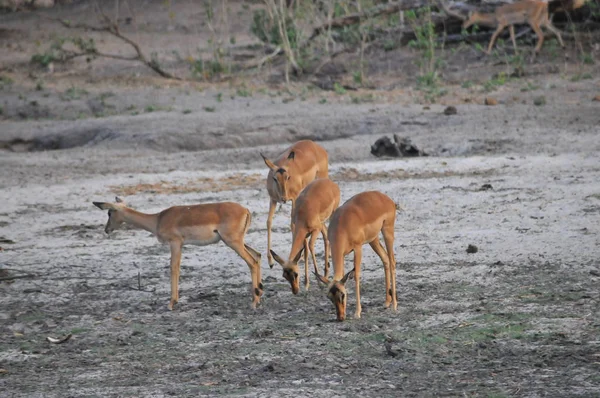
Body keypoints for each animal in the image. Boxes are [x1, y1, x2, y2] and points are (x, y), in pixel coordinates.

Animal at [92, 199, 262, 310]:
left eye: (109, 212)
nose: (107, 229)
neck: (157, 220)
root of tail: (245, 210)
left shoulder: (174, 243)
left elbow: (174, 268)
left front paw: (171, 303)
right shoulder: (179, 245)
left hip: (233, 242)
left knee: (252, 262)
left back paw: (254, 303)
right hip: (237, 241)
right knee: (258, 255)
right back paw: (258, 296)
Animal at [262, 139, 330, 268]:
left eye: (287, 177)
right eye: (275, 178)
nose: (283, 198)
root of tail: (315, 145)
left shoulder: (294, 199)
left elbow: (292, 225)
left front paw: (298, 257)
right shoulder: (273, 199)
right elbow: (268, 222)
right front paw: (270, 261)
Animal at [314, 191, 398, 322]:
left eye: (343, 295)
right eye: (329, 297)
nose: (340, 317)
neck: (342, 225)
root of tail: (385, 198)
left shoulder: (358, 248)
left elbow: (357, 276)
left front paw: (357, 312)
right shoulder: (342, 254)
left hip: (387, 232)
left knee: (392, 261)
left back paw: (394, 305)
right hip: (373, 239)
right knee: (385, 259)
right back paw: (387, 302)